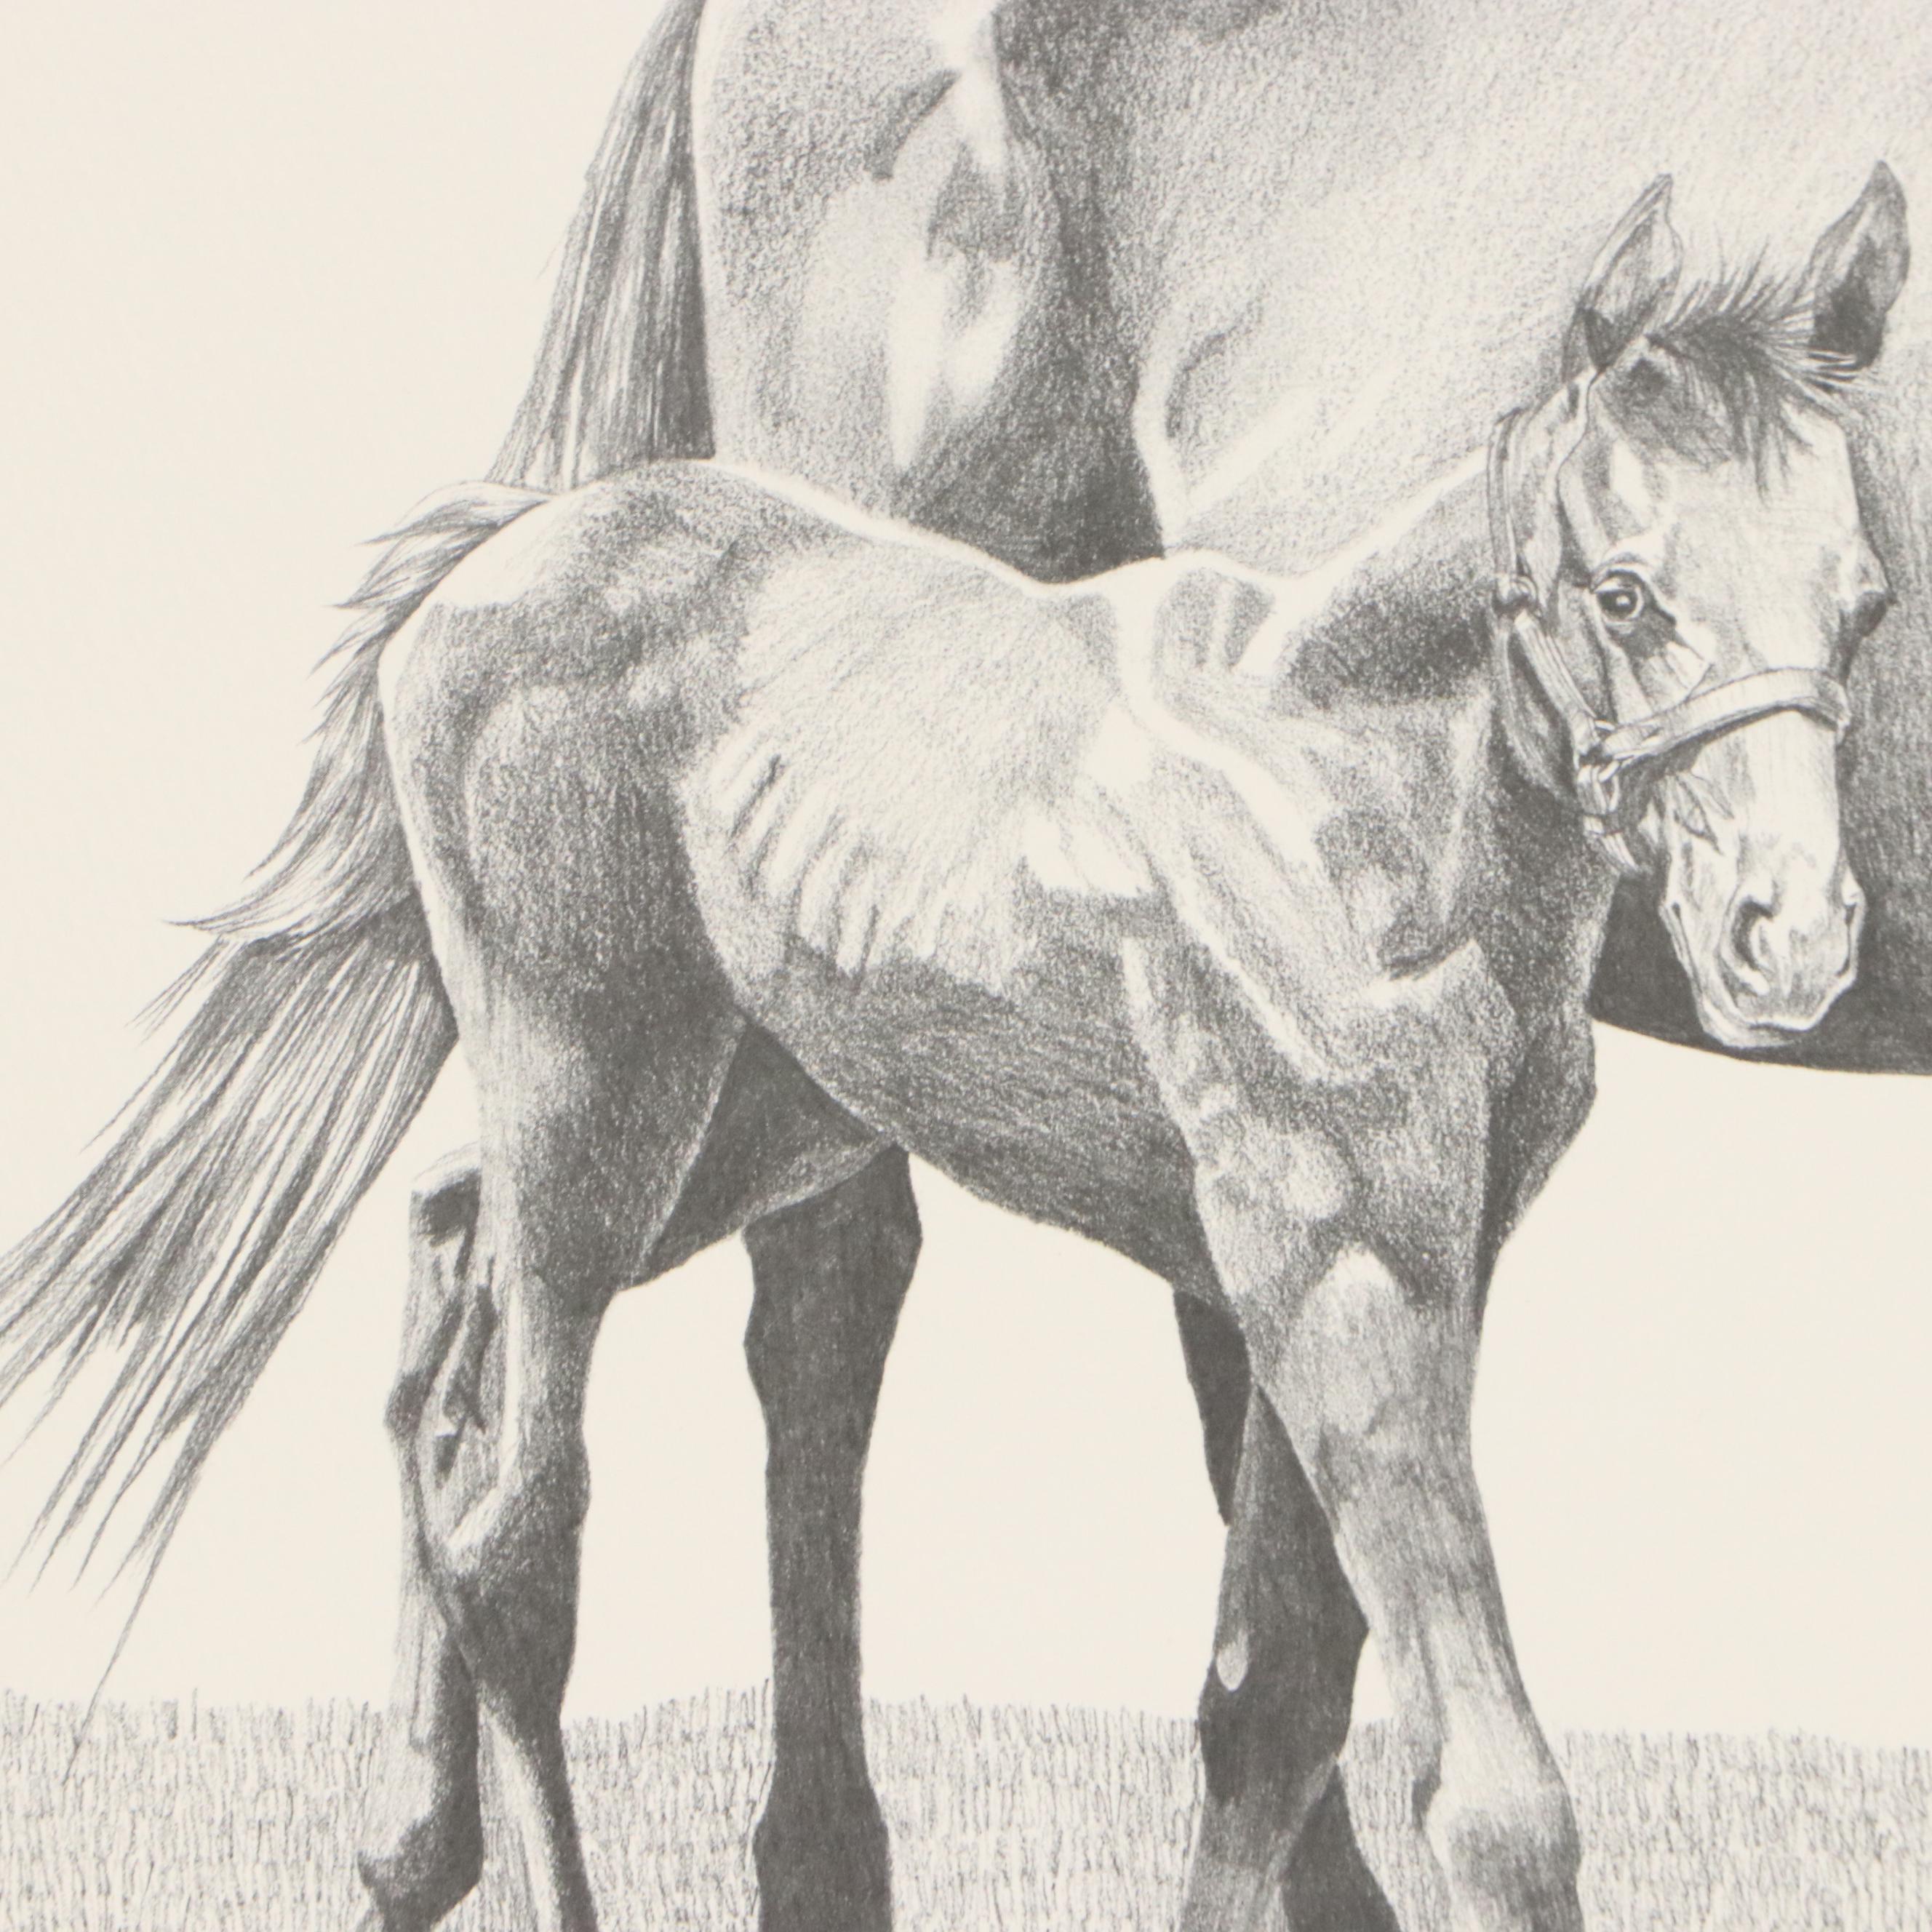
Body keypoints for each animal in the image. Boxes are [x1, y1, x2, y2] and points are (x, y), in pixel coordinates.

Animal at [0, 159, 1904, 1932]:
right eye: (1624, 594)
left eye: (1863, 603)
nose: (1790, 933)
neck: (1342, 784)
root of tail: (490, 559)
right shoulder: (1335, 1263)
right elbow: (1486, 1793)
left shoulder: (1374, 1267)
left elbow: (1271, 1706)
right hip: (597, 1104)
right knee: (512, 1533)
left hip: (760, 1117)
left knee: (447, 1261)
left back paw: (405, 1844)